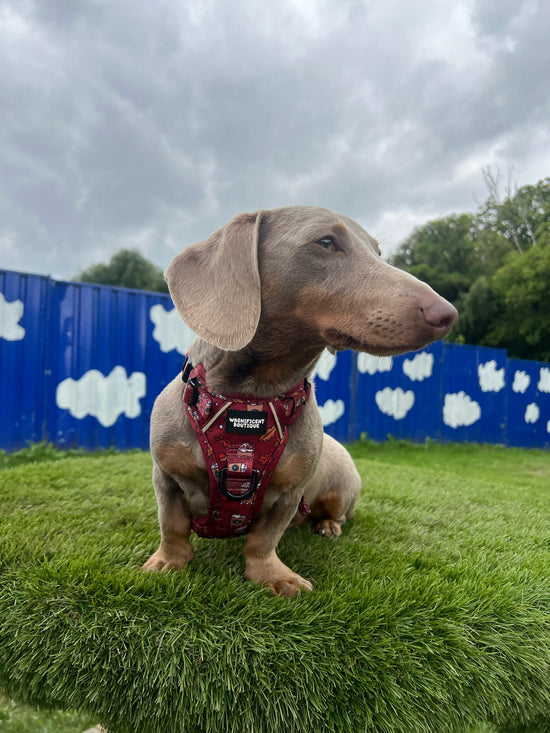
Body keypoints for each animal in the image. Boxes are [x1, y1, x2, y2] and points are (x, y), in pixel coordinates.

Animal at [144, 206, 460, 596]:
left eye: (378, 253)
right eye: (326, 242)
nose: (447, 315)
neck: (249, 403)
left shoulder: (289, 493)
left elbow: (263, 540)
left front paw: (272, 575)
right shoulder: (165, 478)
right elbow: (171, 525)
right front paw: (168, 562)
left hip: (341, 493)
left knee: (334, 514)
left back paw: (327, 527)